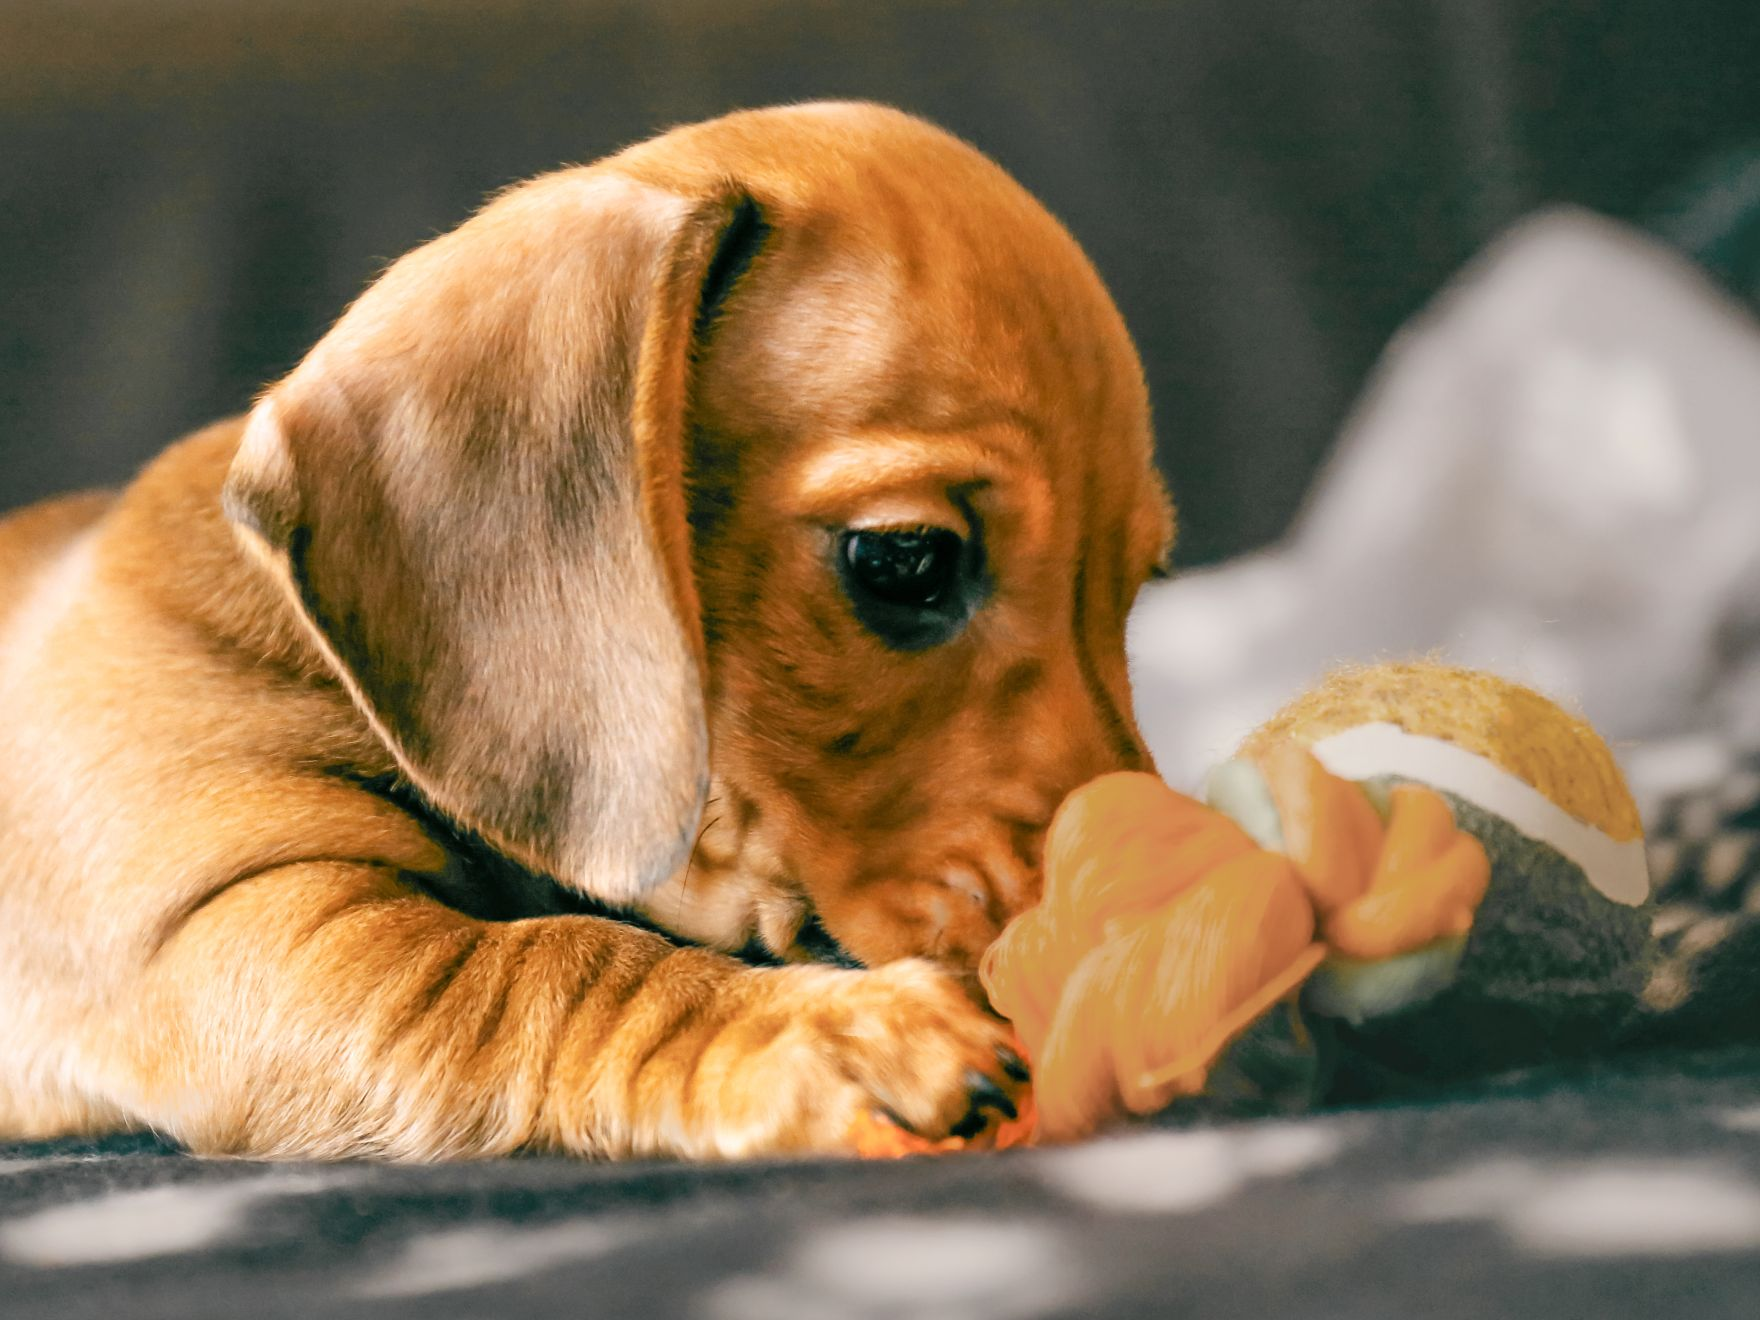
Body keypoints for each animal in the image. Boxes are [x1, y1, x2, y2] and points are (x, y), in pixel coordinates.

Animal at [3, 106, 1182, 1154]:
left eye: (1140, 582)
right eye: (903, 559)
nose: (1139, 931)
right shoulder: (234, 923)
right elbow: (546, 965)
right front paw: (825, 1031)